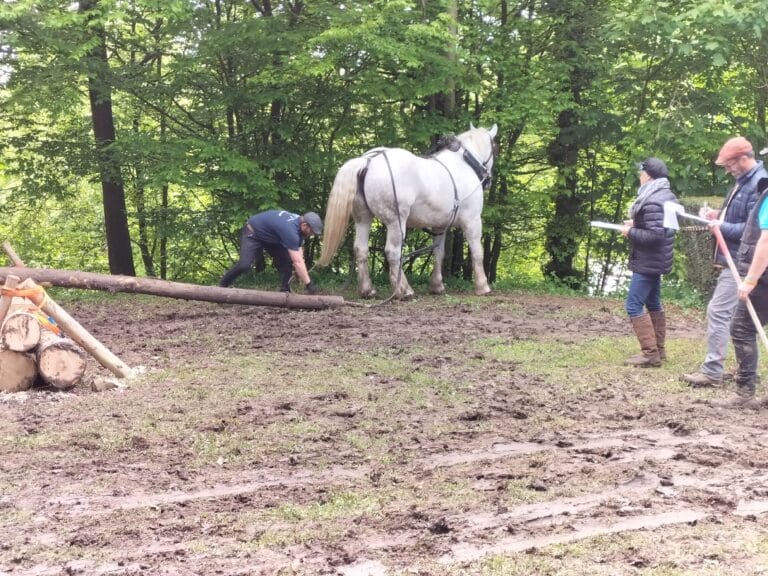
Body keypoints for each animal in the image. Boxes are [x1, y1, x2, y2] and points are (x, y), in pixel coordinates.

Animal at [316, 124, 498, 300]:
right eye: (494, 147)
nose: (489, 180)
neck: (464, 164)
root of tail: (368, 161)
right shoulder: (472, 221)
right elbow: (477, 253)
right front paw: (483, 286)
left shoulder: (439, 226)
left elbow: (438, 253)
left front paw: (437, 286)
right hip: (396, 222)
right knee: (393, 252)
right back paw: (404, 290)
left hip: (363, 218)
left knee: (361, 249)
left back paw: (367, 290)